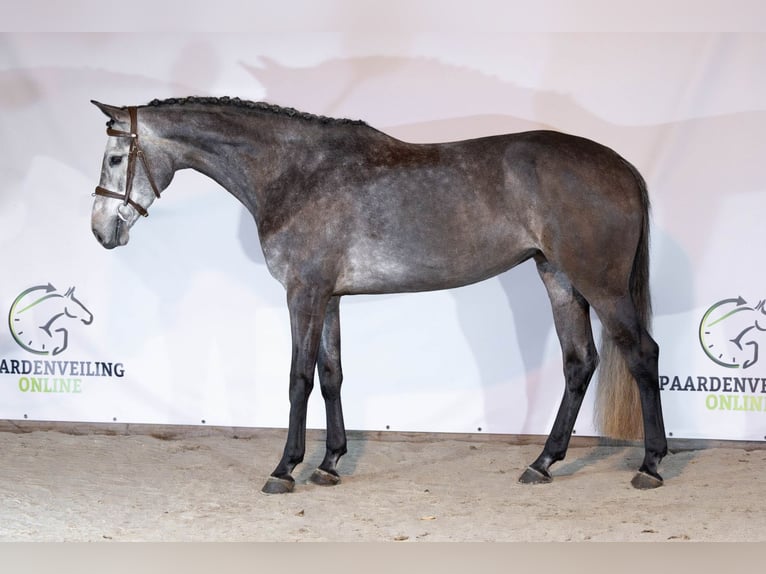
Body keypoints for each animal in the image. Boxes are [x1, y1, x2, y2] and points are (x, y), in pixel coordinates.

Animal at [89, 96, 667, 493]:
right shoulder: (329, 298)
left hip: (601, 285)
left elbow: (298, 380)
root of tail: (622, 166)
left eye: (115, 158)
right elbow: (331, 376)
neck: (297, 173)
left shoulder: (303, 294)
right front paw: (328, 464)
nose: (101, 231)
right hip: (559, 278)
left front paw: (285, 468)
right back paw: (542, 463)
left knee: (642, 354)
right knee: (579, 362)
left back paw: (651, 465)